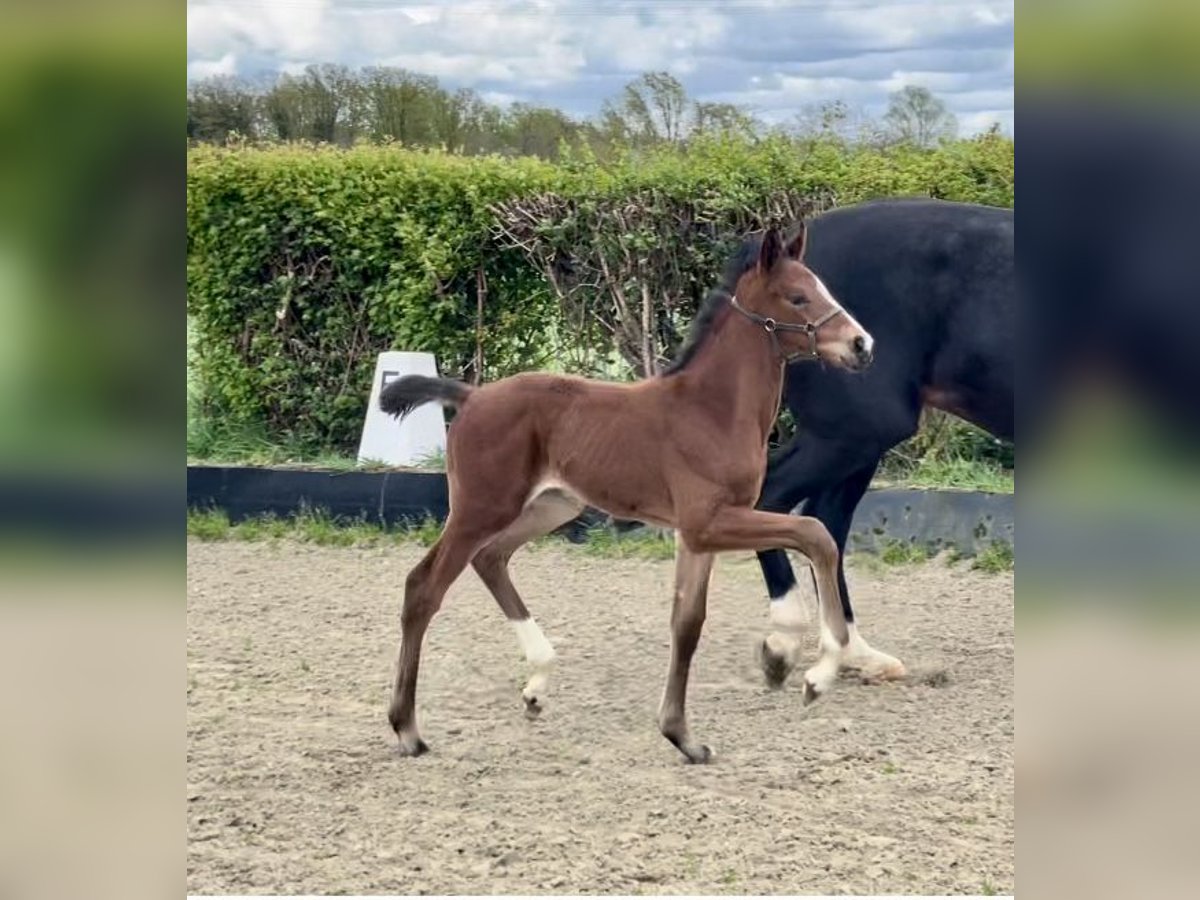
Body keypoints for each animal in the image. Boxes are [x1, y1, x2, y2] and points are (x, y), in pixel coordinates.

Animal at [381, 224, 873, 763]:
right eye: (798, 296)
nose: (862, 344)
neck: (713, 409)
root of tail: (471, 396)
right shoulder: (708, 521)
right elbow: (816, 533)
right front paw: (818, 676)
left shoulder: (697, 536)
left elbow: (687, 623)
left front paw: (682, 736)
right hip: (481, 507)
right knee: (423, 586)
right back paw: (407, 728)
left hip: (551, 505)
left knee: (490, 559)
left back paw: (537, 682)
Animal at [753, 199, 1008, 691]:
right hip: (853, 432)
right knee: (771, 499)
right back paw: (784, 640)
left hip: (857, 443)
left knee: (823, 525)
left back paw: (854, 654)